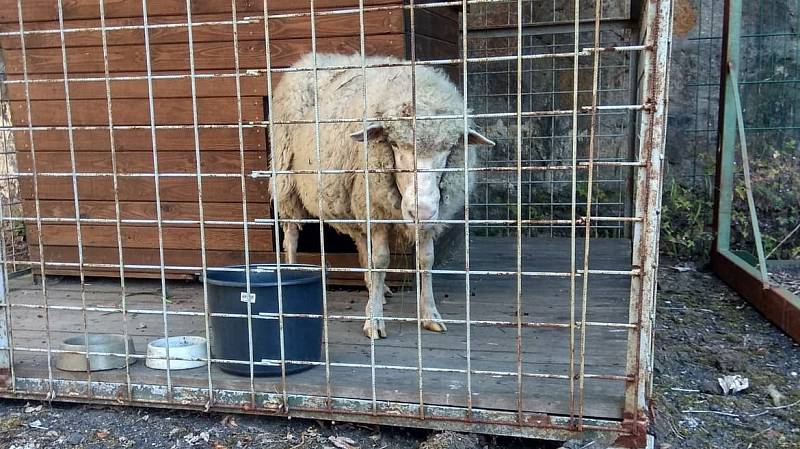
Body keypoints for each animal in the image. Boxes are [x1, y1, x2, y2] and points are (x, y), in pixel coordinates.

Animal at [272, 53, 490, 340]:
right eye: (395, 144)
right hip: (286, 179)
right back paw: (292, 271)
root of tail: (311, 58)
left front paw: (429, 313)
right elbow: (381, 259)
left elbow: (426, 259)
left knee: (361, 241)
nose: (420, 210)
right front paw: (374, 319)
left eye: (449, 147)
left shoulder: (426, 218)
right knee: (291, 235)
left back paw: (377, 289)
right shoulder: (376, 209)